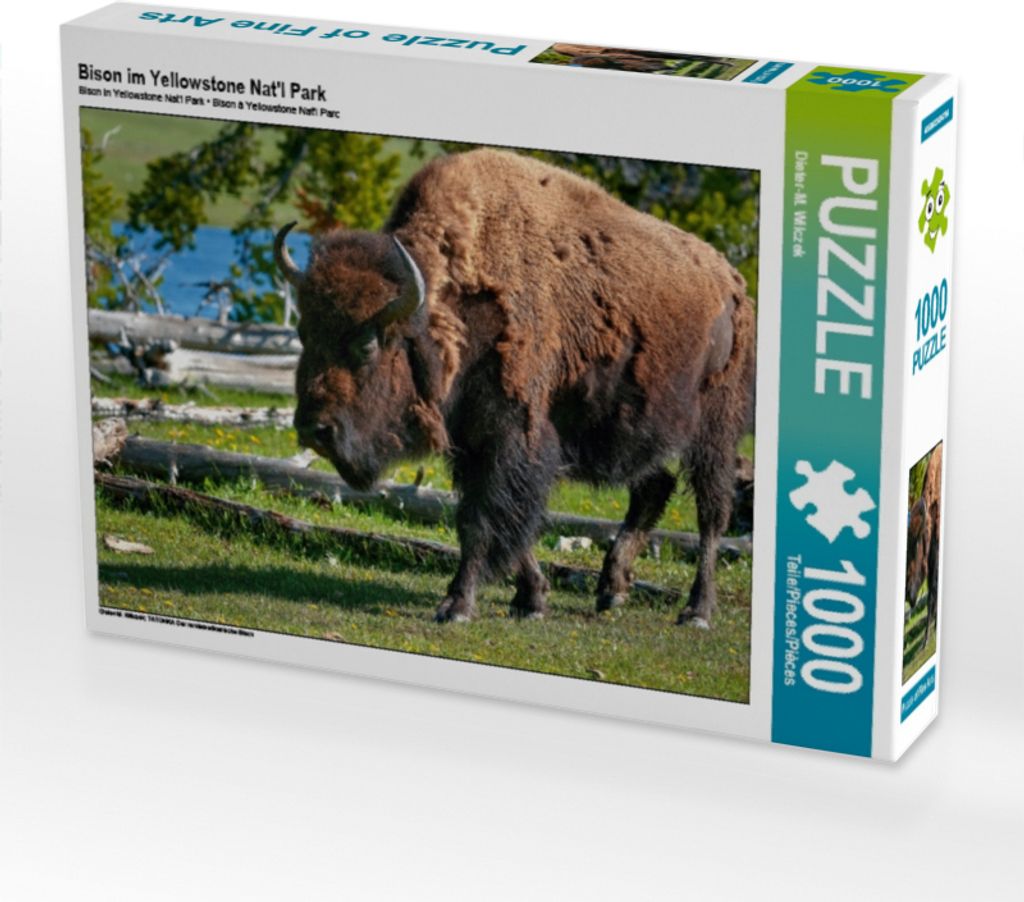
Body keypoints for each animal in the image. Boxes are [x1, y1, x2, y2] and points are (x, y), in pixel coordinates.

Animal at [275, 148, 755, 627]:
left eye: (368, 343)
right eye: (304, 332)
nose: (313, 430)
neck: (447, 310)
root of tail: (731, 282)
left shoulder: (510, 435)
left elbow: (483, 519)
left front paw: (457, 605)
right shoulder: (473, 441)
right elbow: (499, 521)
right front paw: (531, 599)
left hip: (713, 429)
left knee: (711, 511)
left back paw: (696, 610)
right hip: (634, 427)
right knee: (653, 488)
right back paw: (611, 591)